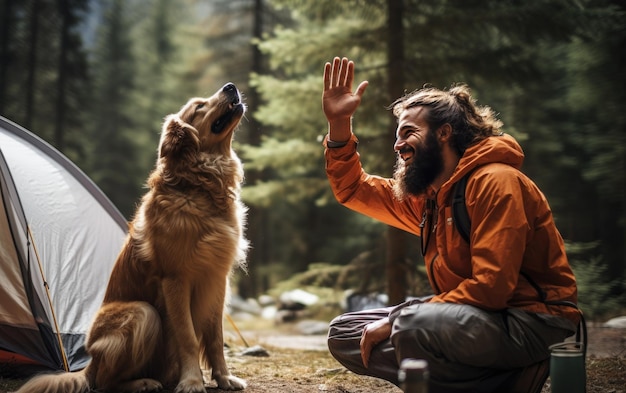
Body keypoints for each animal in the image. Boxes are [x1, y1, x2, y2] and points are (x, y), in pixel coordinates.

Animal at [16, 83, 249, 392]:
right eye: (199, 107)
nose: (230, 86)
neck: (201, 188)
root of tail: (90, 365)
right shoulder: (175, 279)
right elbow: (187, 336)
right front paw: (191, 381)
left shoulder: (217, 278)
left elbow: (215, 338)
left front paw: (223, 377)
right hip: (143, 313)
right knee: (105, 382)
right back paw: (143, 382)